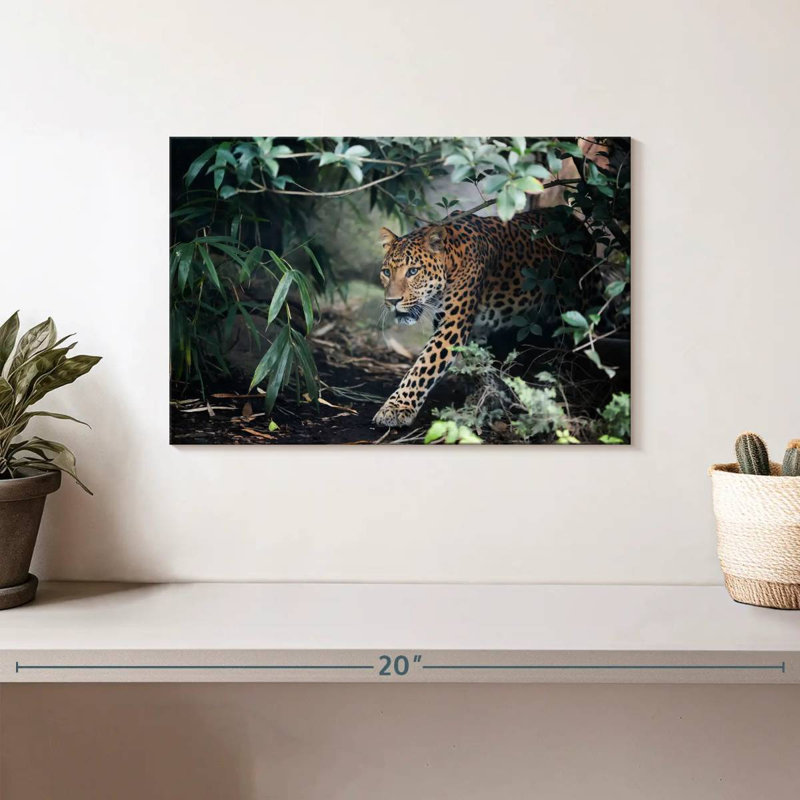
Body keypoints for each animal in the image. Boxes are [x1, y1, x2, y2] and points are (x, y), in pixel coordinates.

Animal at [373, 211, 562, 428]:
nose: (392, 301)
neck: (452, 260)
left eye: (413, 271)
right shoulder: (470, 328)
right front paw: (488, 395)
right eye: (386, 272)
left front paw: (396, 408)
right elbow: (479, 362)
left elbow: (422, 368)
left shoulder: (451, 327)